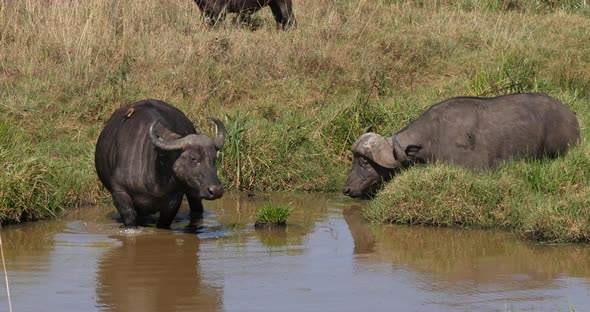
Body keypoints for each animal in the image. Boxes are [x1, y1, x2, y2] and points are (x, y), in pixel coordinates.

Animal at [95, 98, 227, 228]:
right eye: (193, 158)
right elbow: (130, 218)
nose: (216, 190)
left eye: (213, 158)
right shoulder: (120, 192)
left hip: (193, 192)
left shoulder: (174, 198)